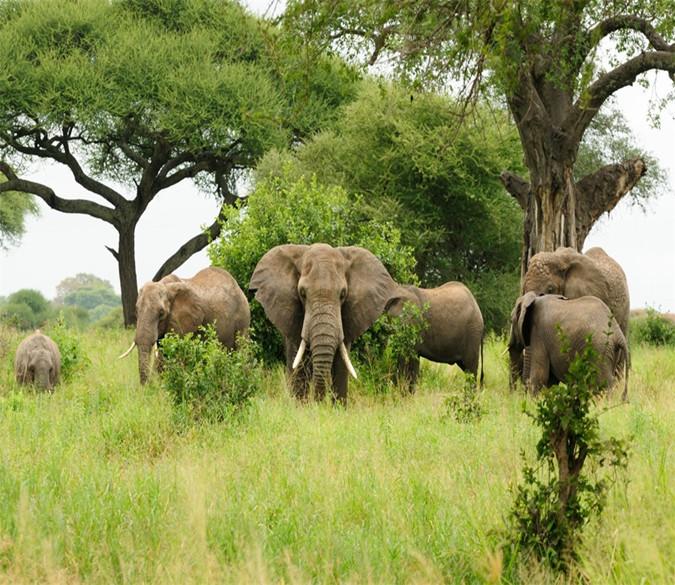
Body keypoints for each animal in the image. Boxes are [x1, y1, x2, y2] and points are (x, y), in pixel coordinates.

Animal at [119, 266, 250, 384]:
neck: (165, 285)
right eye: (137, 311)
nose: (147, 386)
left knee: (242, 349)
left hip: (243, 317)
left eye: (161, 313)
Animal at [249, 243, 399, 404]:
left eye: (343, 294)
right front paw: (300, 407)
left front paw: (338, 407)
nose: (318, 403)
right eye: (302, 293)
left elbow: (341, 364)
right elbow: (299, 365)